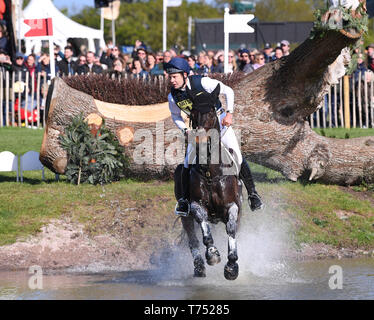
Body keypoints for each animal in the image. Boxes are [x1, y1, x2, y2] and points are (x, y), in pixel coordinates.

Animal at [175, 84, 243, 280]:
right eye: (193, 114)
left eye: (212, 113)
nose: (201, 140)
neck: (211, 172)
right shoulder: (196, 205)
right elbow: (204, 230)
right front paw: (212, 254)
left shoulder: (232, 206)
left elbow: (231, 229)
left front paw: (232, 266)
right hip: (186, 217)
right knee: (192, 240)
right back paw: (199, 267)